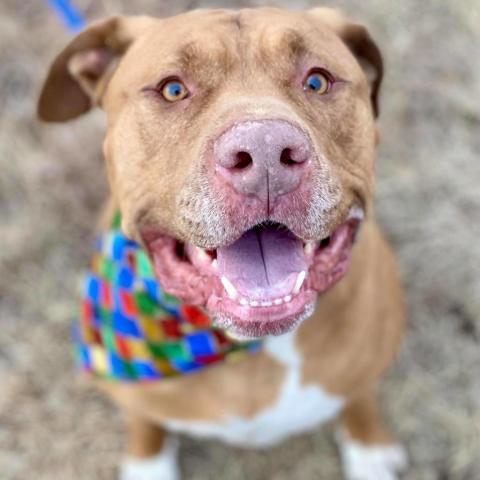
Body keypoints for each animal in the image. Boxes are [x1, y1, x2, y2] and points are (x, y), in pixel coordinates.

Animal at [37, 7, 406, 480]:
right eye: (173, 89)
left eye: (317, 81)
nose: (266, 152)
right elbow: (145, 425)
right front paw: (147, 463)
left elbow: (359, 400)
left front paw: (368, 448)